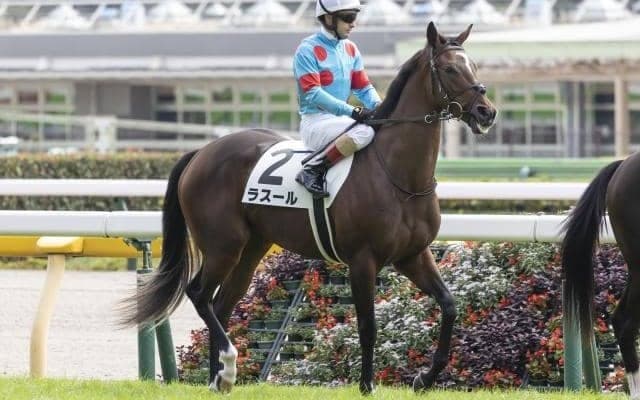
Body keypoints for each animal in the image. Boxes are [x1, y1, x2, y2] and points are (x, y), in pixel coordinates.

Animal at [122, 22, 497, 394]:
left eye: (474, 66)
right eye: (449, 69)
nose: (487, 111)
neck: (398, 175)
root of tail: (201, 152)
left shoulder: (413, 255)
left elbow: (449, 305)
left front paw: (424, 377)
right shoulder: (363, 260)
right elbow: (368, 325)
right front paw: (367, 385)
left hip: (250, 248)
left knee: (221, 304)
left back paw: (218, 379)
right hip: (221, 245)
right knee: (199, 294)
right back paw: (227, 366)